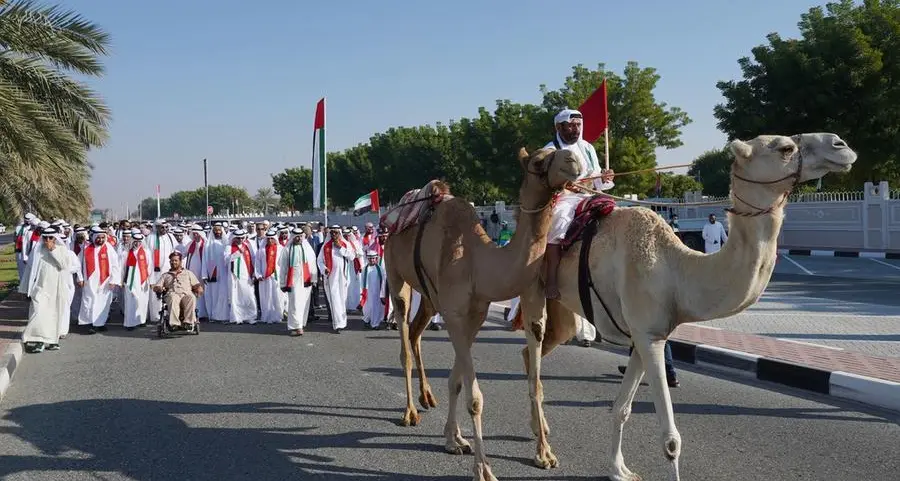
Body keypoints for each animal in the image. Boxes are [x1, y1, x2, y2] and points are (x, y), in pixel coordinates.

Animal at [382, 146, 584, 480]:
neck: (479, 261)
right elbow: (475, 397)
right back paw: (409, 412)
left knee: (416, 332)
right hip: (395, 274)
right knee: (403, 340)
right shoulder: (454, 313)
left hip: (431, 297)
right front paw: (483, 469)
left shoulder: (475, 314)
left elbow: (459, 381)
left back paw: (428, 397)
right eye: (538, 161)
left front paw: (455, 439)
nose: (573, 160)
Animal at [512, 132, 856, 480]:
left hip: (563, 308)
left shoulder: (646, 335)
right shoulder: (649, 336)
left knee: (533, 352)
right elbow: (671, 440)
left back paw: (540, 430)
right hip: (531, 291)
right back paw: (543, 454)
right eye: (785, 148)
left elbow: (622, 408)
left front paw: (619, 470)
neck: (675, 270)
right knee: (534, 349)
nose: (841, 145)